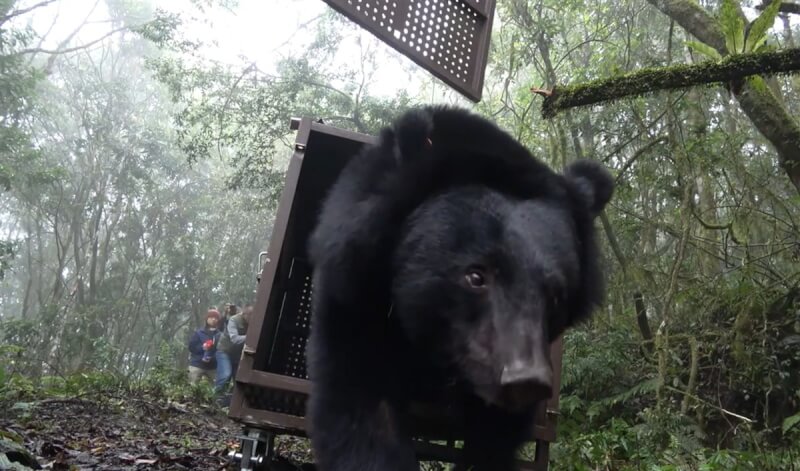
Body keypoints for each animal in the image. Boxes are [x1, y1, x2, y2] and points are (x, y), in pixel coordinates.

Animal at [304, 107, 612, 471]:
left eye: (555, 295)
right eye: (475, 276)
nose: (525, 380)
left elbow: (494, 438)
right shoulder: (353, 292)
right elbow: (362, 416)